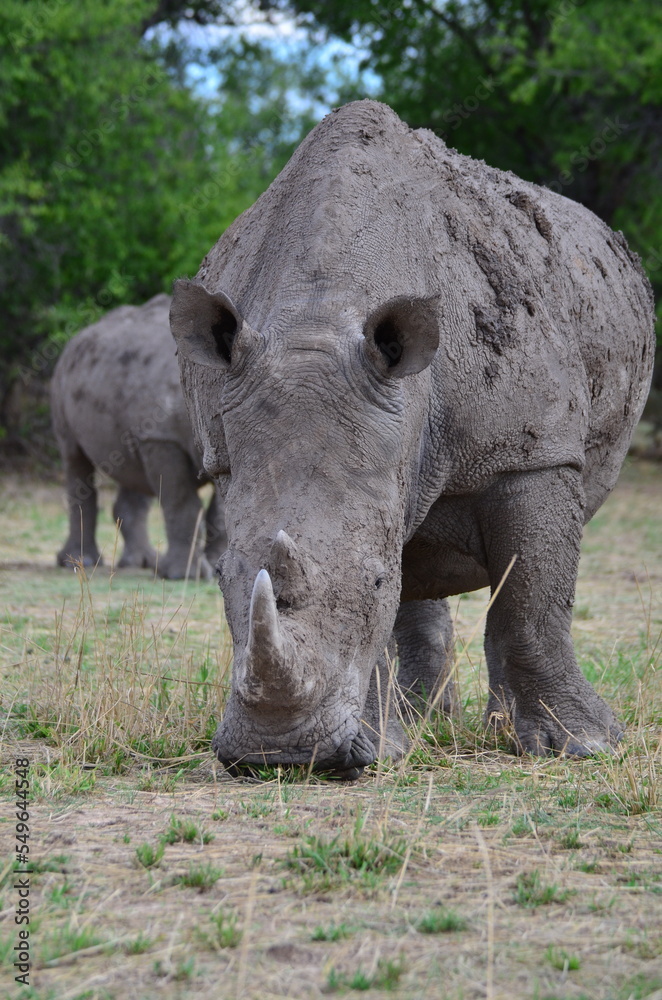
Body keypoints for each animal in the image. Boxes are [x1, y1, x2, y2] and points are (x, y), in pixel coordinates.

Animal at [52, 292, 228, 580]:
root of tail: (79, 336)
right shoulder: (162, 438)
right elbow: (182, 503)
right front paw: (183, 575)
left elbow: (222, 512)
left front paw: (216, 568)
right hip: (62, 376)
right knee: (74, 458)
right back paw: (79, 563)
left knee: (131, 469)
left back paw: (140, 562)